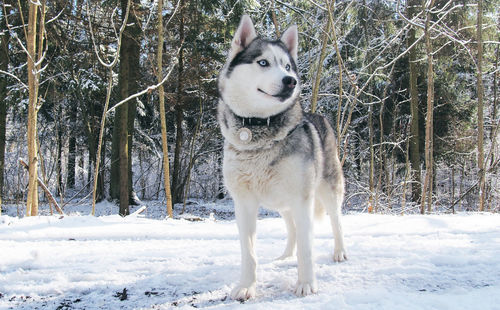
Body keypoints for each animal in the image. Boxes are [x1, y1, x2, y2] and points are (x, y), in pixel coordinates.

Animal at [219, 15, 348, 300]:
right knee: (292, 229)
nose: (291, 80)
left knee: (336, 222)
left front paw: (306, 284)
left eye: (288, 66)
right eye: (263, 62)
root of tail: (319, 116)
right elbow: (249, 252)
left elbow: (307, 248)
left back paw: (339, 252)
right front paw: (246, 286)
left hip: (327, 190)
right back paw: (286, 255)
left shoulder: (303, 199)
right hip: (284, 202)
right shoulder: (244, 203)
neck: (259, 129)